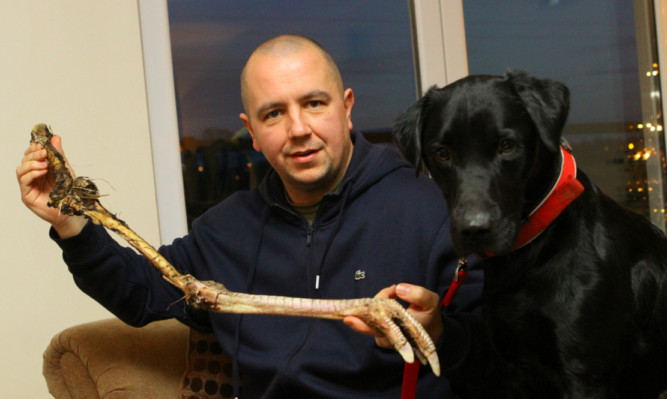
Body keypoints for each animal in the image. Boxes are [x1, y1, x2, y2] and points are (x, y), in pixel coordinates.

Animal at [394, 70, 667, 398]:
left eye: (507, 145)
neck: (531, 253)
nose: (474, 229)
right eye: (442, 153)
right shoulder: (514, 368)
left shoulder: (586, 375)